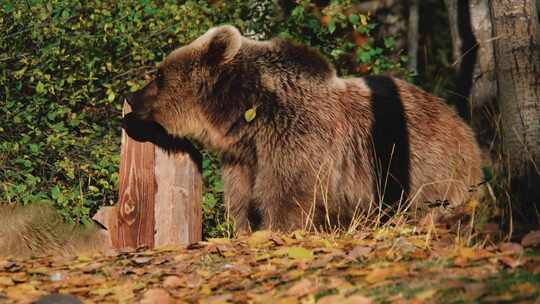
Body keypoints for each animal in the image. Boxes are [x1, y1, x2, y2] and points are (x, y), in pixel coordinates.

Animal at [123, 25, 486, 233]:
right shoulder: (243, 158)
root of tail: (460, 121)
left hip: (427, 167)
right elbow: (241, 199)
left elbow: (287, 195)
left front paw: (274, 229)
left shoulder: (297, 139)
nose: (131, 97)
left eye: (159, 75)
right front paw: (244, 228)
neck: (247, 116)